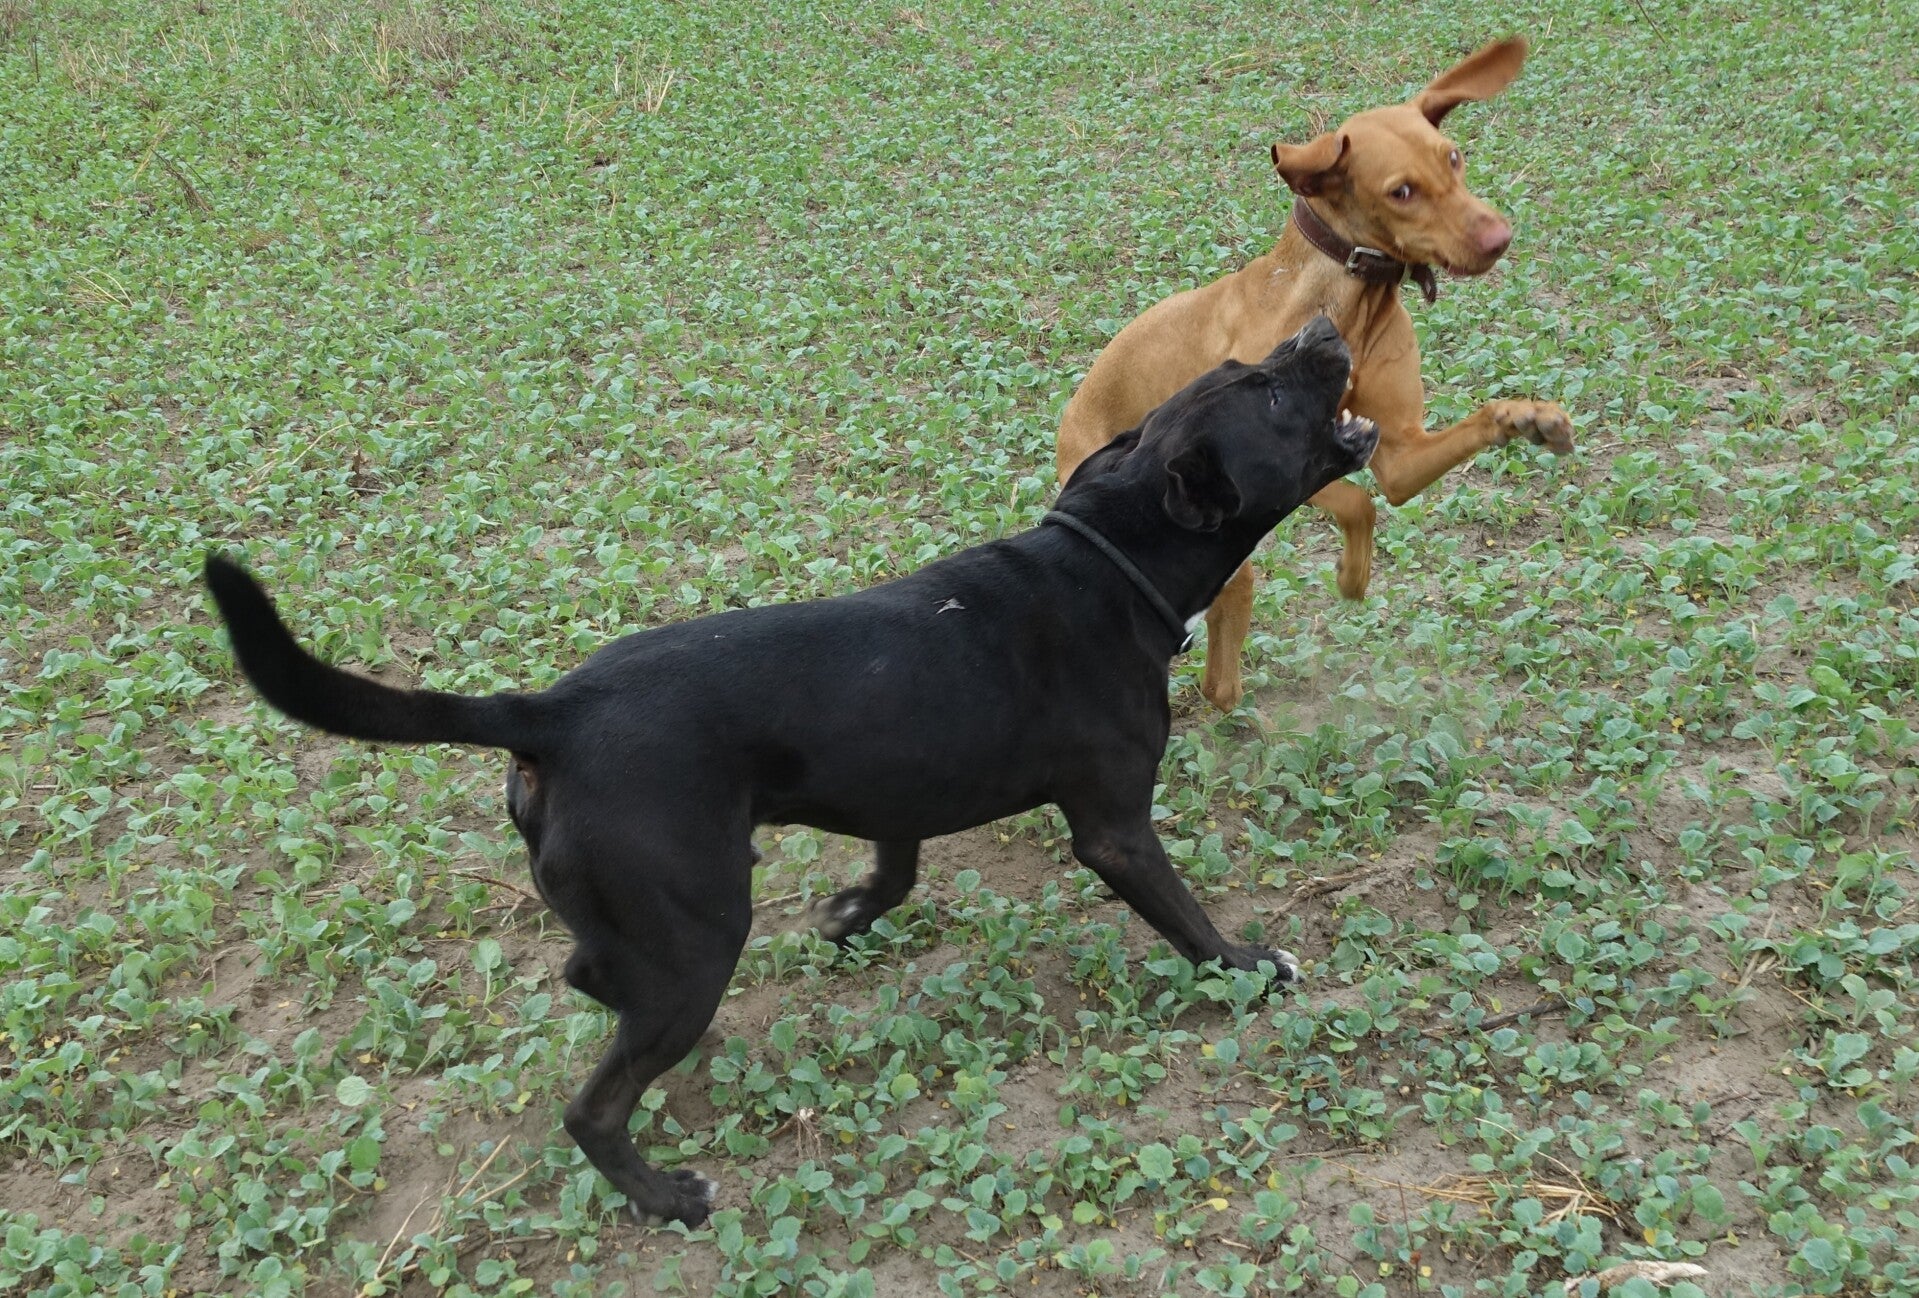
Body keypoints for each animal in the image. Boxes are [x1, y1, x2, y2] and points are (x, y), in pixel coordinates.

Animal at [203, 318, 1376, 1227]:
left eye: (1251, 363)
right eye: (1271, 392)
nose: (1324, 329)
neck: (1109, 555)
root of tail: (552, 712)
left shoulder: (901, 784)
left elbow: (894, 871)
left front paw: (848, 915)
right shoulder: (1115, 827)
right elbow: (1183, 914)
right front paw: (1245, 964)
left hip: (645, 920)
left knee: (591, 973)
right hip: (697, 932)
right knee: (593, 1102)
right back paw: (665, 1196)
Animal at [1056, 37, 1574, 711]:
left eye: (1454, 158)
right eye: (1401, 191)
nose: (1499, 237)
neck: (1352, 300)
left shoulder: (1398, 453)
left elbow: (1432, 455)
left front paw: (1531, 418)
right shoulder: (1287, 461)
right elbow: (1357, 500)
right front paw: (1352, 575)